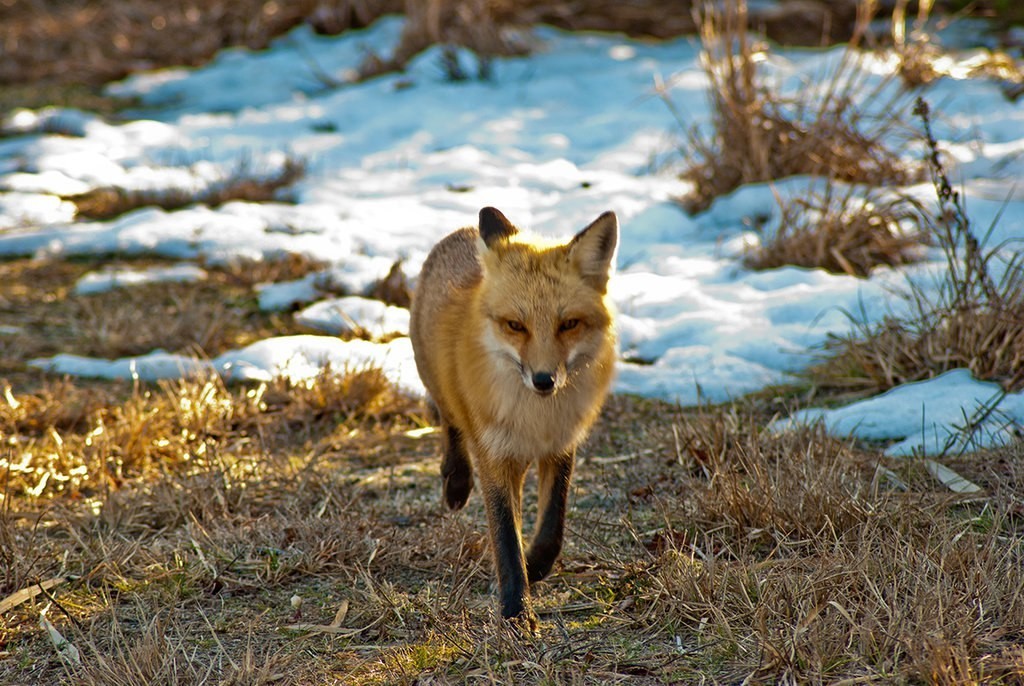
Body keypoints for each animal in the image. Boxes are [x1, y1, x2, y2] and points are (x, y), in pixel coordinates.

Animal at [407, 206, 614, 630]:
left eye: (569, 324)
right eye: (516, 326)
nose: (544, 380)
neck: (534, 417)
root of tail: (462, 230)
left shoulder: (561, 446)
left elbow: (552, 527)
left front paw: (534, 567)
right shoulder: (495, 456)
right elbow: (505, 536)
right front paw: (517, 610)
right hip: (436, 381)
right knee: (450, 422)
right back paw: (456, 480)